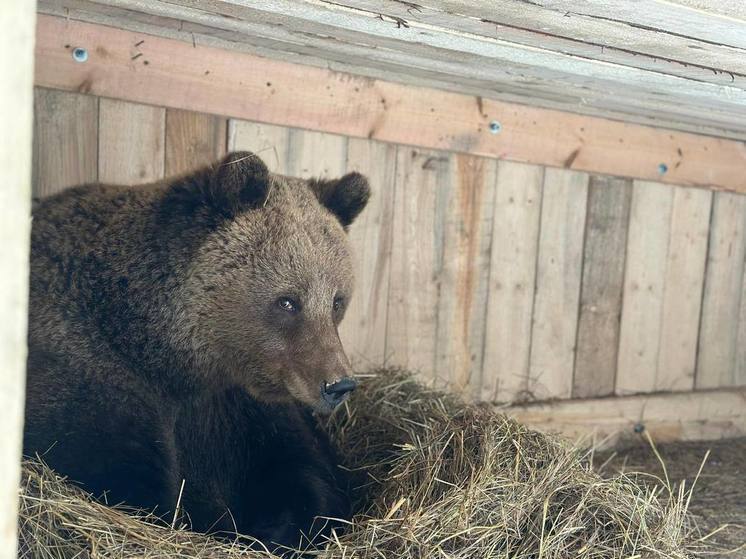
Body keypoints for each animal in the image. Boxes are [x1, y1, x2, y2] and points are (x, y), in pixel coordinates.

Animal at [22, 151, 370, 552]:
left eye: (336, 301)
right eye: (287, 301)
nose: (338, 384)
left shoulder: (240, 408)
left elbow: (305, 476)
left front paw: (277, 528)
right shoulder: (89, 374)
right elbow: (119, 475)